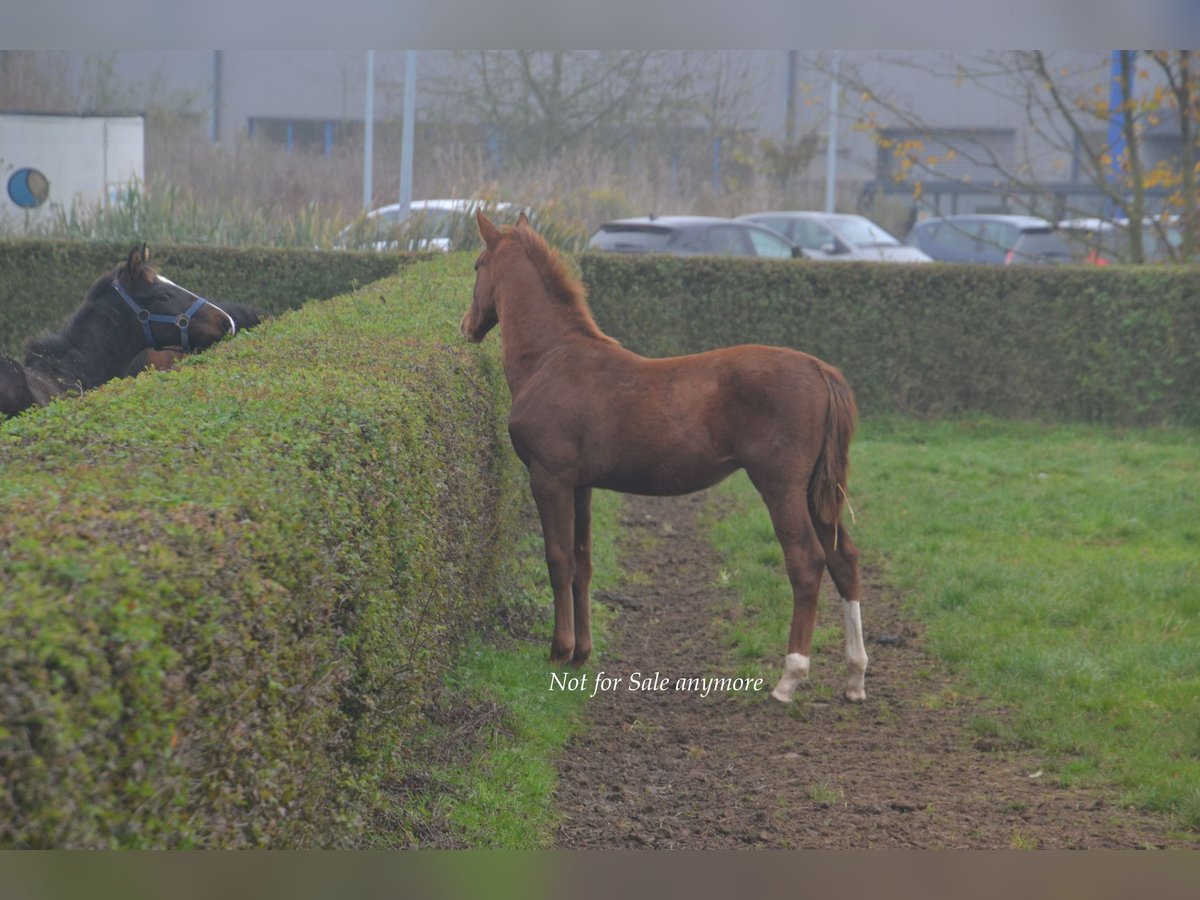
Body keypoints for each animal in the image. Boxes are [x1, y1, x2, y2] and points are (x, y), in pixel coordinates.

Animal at [463, 214, 868, 710]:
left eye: (477, 265)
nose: (467, 326)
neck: (551, 359)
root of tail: (818, 369)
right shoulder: (581, 485)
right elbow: (583, 563)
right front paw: (581, 654)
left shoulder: (549, 478)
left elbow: (558, 561)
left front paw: (558, 651)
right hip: (816, 491)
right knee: (844, 559)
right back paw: (854, 677)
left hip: (781, 486)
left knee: (807, 562)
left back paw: (789, 679)